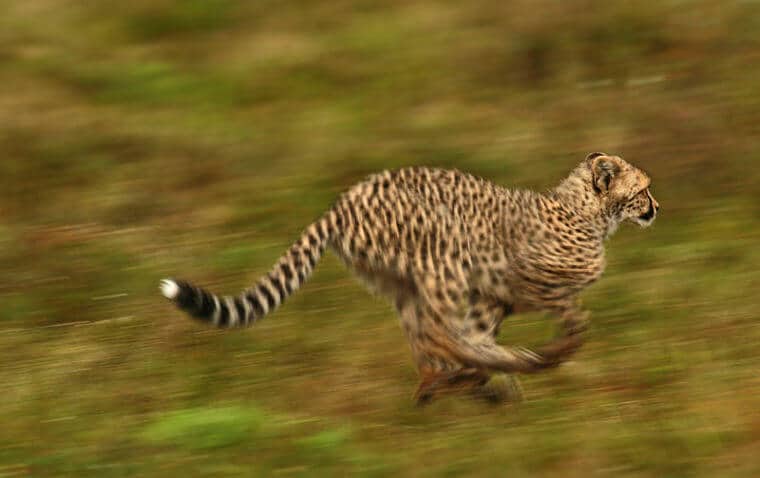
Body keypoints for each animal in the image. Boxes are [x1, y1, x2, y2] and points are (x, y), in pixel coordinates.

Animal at [162, 152, 660, 404]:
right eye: (643, 189)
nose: (657, 207)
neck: (585, 213)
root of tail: (343, 200)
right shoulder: (525, 283)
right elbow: (576, 321)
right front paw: (551, 355)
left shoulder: (492, 297)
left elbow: (480, 332)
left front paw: (491, 376)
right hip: (446, 252)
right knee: (439, 333)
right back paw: (497, 368)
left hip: (403, 282)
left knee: (427, 338)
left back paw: (448, 381)